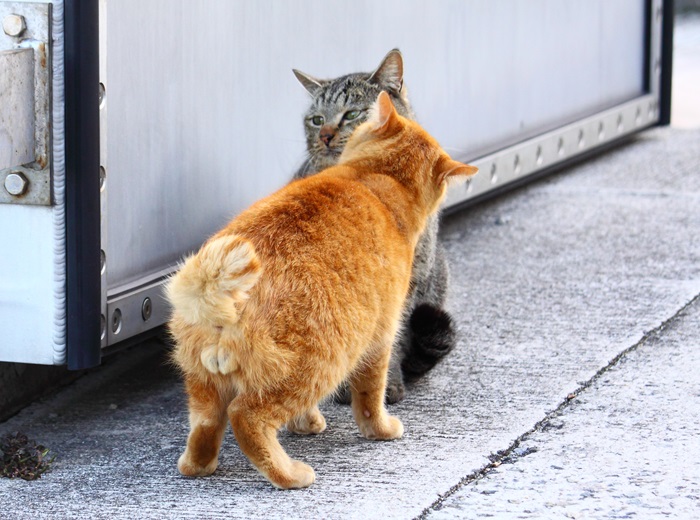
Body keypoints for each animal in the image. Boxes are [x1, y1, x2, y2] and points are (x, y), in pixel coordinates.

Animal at [167, 91, 478, 490]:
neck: (376, 179)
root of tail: (221, 294)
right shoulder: (380, 339)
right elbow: (371, 397)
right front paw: (380, 429)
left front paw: (306, 424)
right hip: (317, 366)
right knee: (246, 416)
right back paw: (290, 474)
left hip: (203, 384)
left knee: (206, 426)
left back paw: (199, 464)